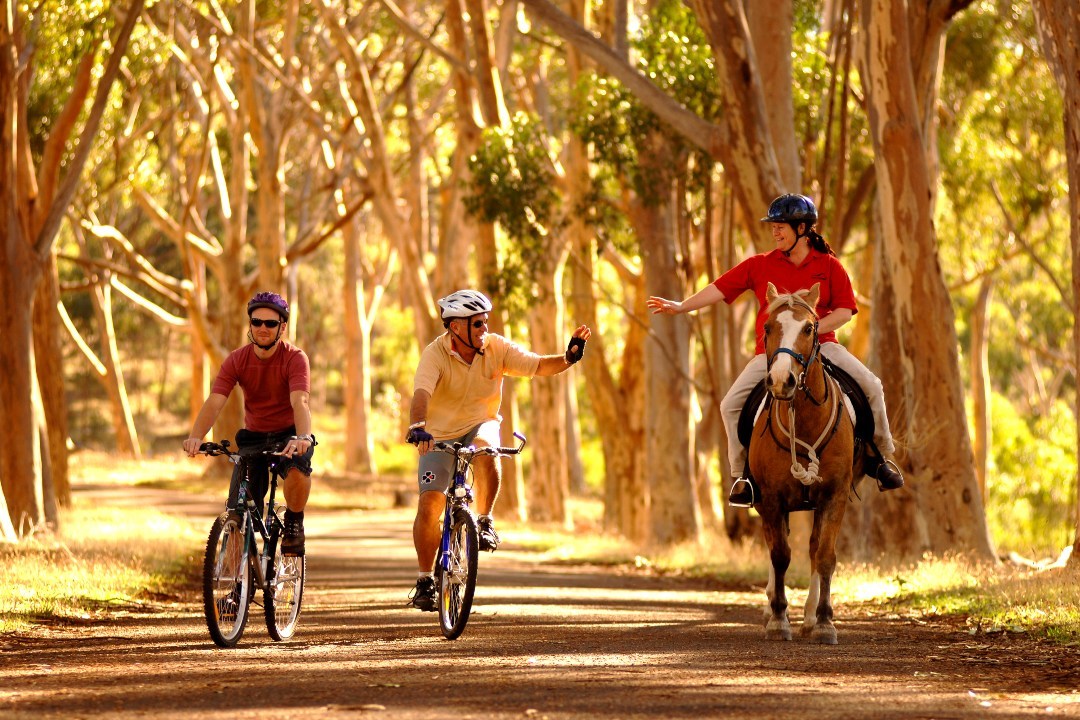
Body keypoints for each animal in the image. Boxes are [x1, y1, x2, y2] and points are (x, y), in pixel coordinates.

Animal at [751, 280, 859, 647]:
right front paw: (778, 619)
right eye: (768, 327)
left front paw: (824, 622)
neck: (806, 419)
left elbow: (823, 556)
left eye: (810, 328)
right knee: (775, 548)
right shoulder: (771, 498)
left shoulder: (835, 495)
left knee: (812, 549)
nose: (780, 380)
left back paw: (810, 617)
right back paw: (773, 606)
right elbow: (780, 556)